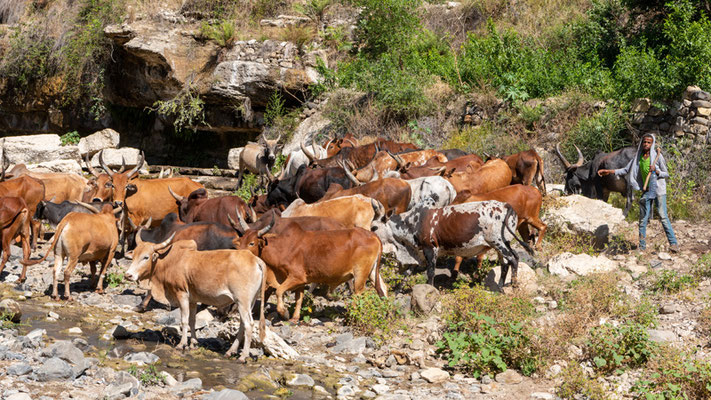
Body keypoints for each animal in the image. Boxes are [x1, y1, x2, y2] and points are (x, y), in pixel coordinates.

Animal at [126, 234, 266, 362]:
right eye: (133, 256)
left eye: (146, 257)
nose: (128, 275)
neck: (167, 262)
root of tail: (254, 259)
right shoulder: (192, 300)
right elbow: (192, 320)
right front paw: (193, 343)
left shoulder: (181, 294)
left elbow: (184, 321)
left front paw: (182, 344)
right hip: (249, 302)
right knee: (242, 324)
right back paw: (230, 351)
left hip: (242, 301)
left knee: (248, 325)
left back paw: (243, 356)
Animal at [370, 200, 532, 288]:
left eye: (374, 227)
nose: (370, 238)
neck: (413, 222)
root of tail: (506, 205)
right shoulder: (419, 254)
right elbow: (406, 274)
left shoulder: (430, 249)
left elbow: (430, 273)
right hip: (503, 243)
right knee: (507, 262)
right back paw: (499, 286)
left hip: (497, 242)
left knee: (512, 259)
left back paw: (513, 285)